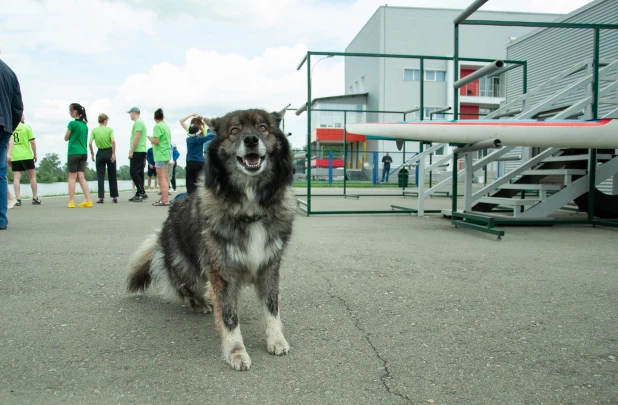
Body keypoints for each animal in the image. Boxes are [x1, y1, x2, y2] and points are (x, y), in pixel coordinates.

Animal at [127, 107, 294, 370]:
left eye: (263, 128)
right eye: (234, 131)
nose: (251, 140)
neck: (250, 208)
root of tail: (167, 220)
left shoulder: (269, 267)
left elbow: (272, 308)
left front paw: (276, 340)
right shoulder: (222, 273)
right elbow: (229, 317)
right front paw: (236, 352)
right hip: (188, 269)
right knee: (186, 288)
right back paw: (201, 304)